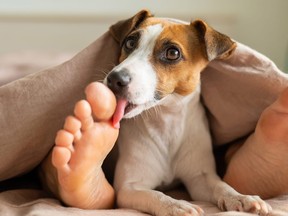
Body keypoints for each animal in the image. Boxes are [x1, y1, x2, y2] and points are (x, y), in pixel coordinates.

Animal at [104, 9, 272, 215]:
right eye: (130, 42)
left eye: (172, 53)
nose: (114, 79)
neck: (166, 121)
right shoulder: (128, 188)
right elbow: (156, 195)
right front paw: (176, 205)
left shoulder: (200, 178)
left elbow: (221, 186)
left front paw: (241, 197)